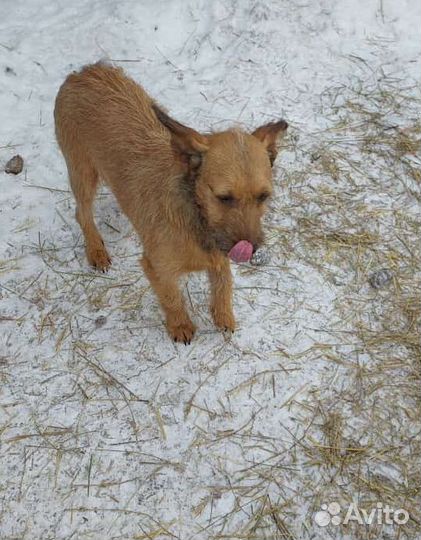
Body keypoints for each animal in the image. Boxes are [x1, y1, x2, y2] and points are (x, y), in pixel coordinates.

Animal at [54, 62, 288, 342]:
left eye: (263, 196)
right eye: (224, 197)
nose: (250, 250)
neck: (196, 217)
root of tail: (83, 72)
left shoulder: (219, 257)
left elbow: (224, 286)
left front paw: (224, 317)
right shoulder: (156, 267)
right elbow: (171, 297)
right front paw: (180, 325)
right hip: (82, 172)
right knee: (82, 213)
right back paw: (96, 251)